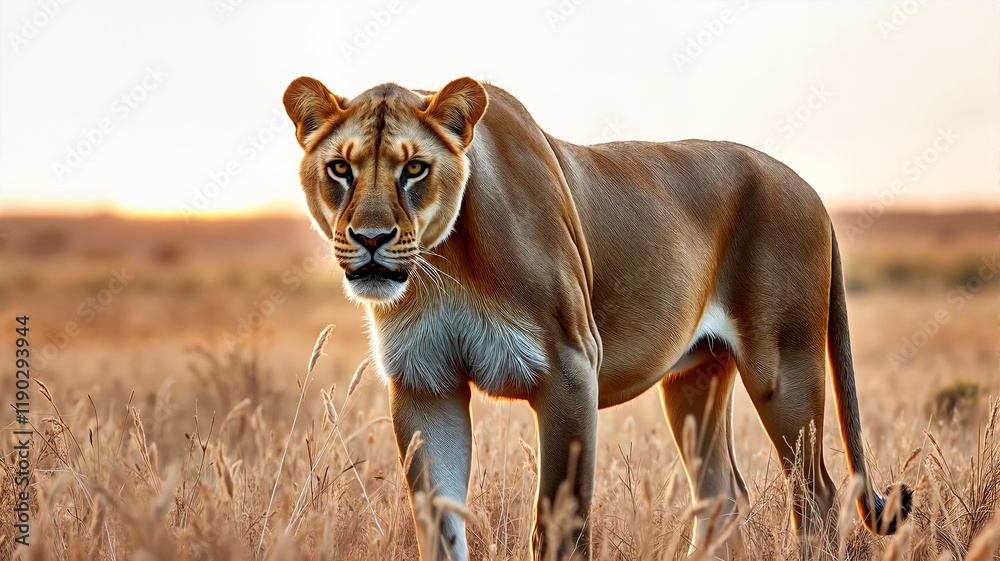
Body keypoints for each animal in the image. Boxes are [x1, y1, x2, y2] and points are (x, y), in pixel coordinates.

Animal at [282, 76, 912, 560]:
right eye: (340, 169)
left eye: (414, 169)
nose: (371, 238)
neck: (446, 261)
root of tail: (811, 191)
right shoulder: (425, 383)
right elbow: (439, 524)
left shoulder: (569, 369)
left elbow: (560, 526)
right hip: (696, 379)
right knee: (723, 493)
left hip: (785, 368)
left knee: (816, 496)